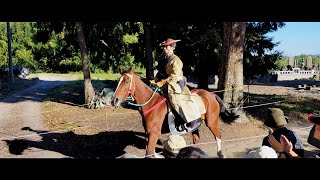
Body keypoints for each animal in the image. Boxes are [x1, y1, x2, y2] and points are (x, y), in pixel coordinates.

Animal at [111, 67, 239, 158]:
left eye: (127, 81)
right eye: (118, 81)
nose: (114, 100)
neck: (151, 103)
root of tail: (212, 95)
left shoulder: (154, 133)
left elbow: (149, 152)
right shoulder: (149, 133)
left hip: (211, 122)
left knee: (218, 136)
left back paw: (220, 154)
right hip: (195, 124)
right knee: (196, 139)